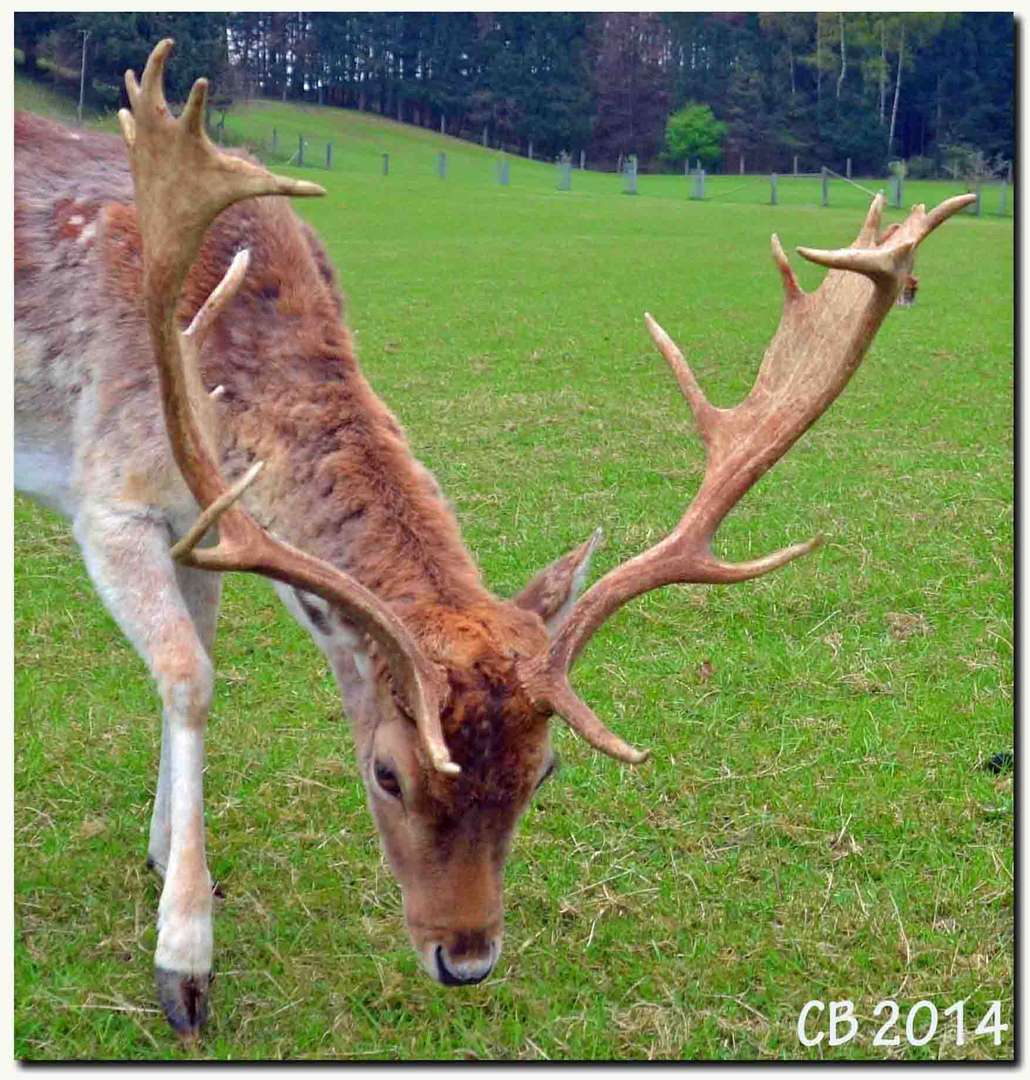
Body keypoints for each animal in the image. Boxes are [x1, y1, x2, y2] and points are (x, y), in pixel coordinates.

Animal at [12, 39, 967, 1036]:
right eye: (387, 774)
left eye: (543, 772)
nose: (465, 959)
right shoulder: (110, 494)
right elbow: (191, 677)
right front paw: (186, 962)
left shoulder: (194, 526)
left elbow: (191, 662)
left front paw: (166, 858)